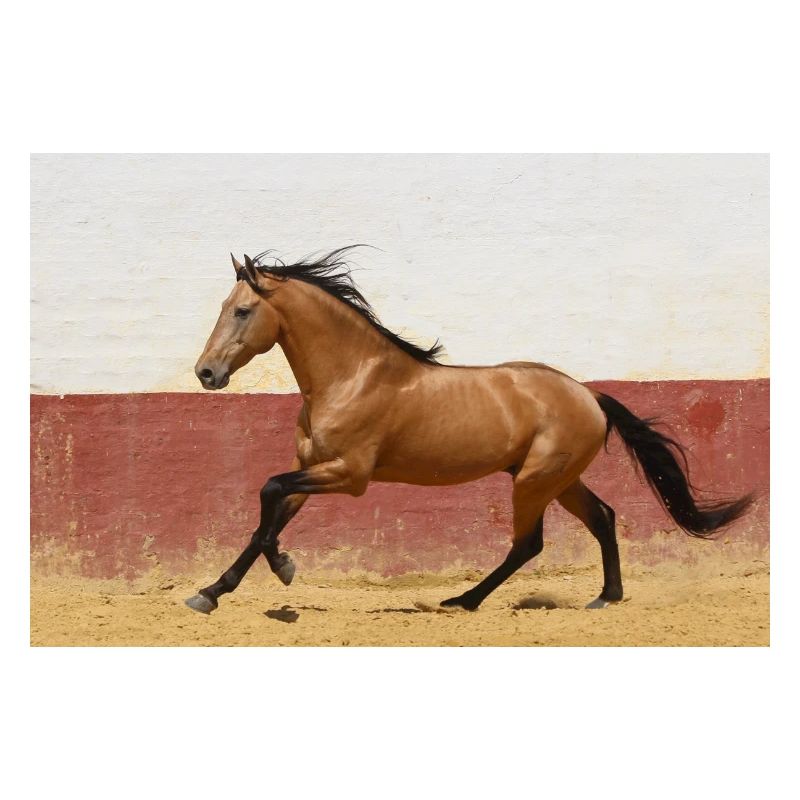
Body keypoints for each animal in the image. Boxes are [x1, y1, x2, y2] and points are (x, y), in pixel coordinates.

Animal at [185, 247, 752, 614]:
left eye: (242, 311)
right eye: (223, 308)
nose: (206, 373)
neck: (352, 376)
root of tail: (589, 395)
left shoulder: (348, 475)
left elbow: (268, 493)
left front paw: (277, 568)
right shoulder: (312, 467)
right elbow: (267, 517)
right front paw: (214, 590)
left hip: (535, 482)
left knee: (529, 544)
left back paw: (464, 599)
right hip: (558, 480)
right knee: (604, 518)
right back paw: (605, 598)